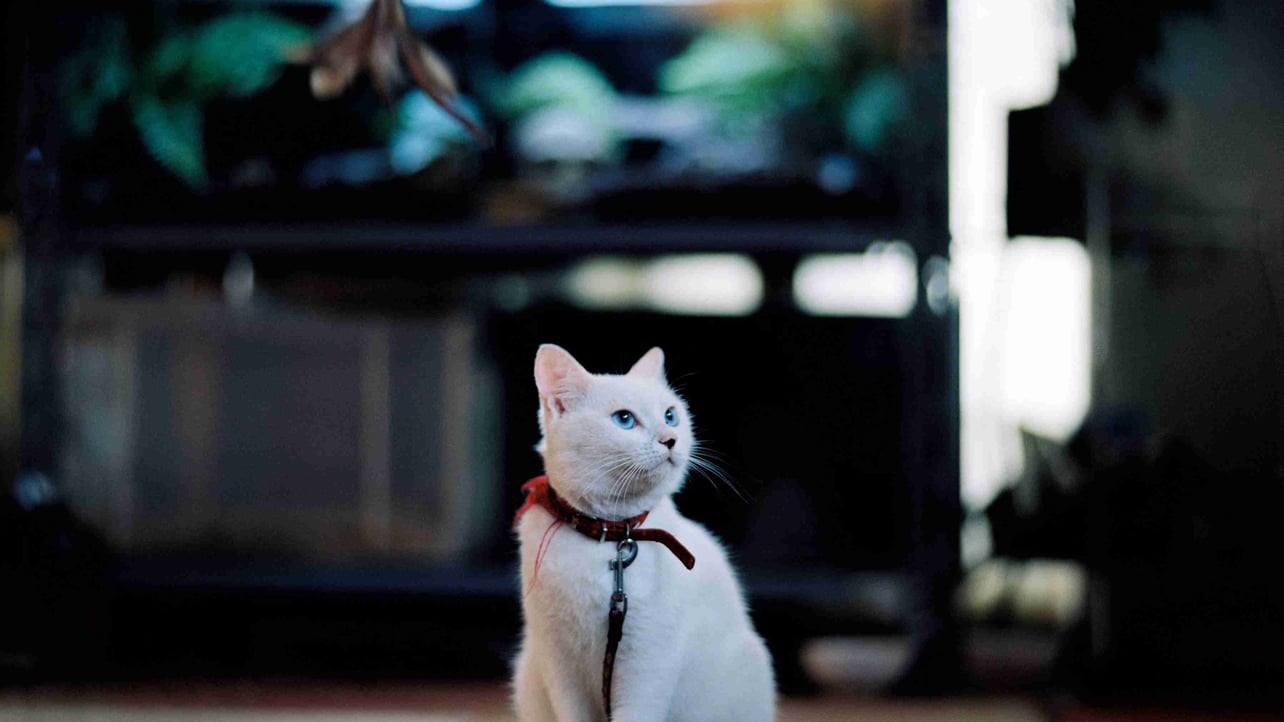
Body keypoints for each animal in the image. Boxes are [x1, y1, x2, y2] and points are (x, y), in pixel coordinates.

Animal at [513, 344, 775, 722]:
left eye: (670, 415)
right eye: (624, 419)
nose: (671, 439)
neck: (610, 535)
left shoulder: (647, 663)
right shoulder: (560, 664)